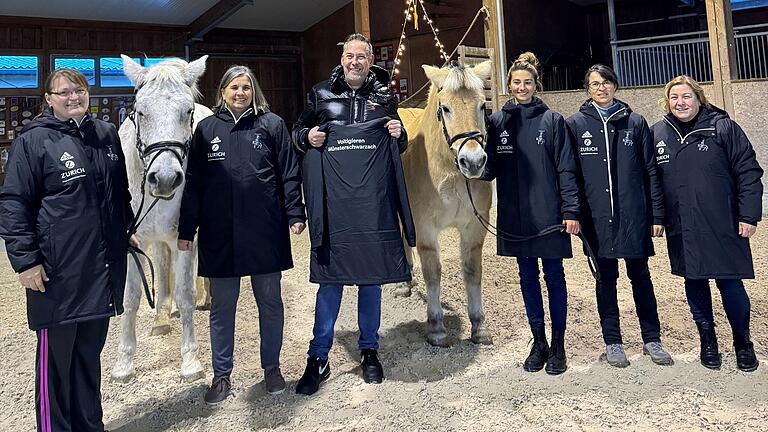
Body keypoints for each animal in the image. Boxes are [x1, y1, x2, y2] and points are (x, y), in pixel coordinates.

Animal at [111, 54, 213, 382]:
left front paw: (190, 361)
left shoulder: (184, 236)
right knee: (163, 262)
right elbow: (130, 299)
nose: (166, 179)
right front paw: (124, 363)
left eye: (187, 111)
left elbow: (185, 293)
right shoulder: (131, 243)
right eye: (141, 112)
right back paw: (163, 316)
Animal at [396, 60, 492, 346]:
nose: (473, 161)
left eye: (482, 106)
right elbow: (433, 273)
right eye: (446, 108)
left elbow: (472, 270)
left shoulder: (474, 226)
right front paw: (436, 327)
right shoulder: (426, 228)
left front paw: (479, 326)